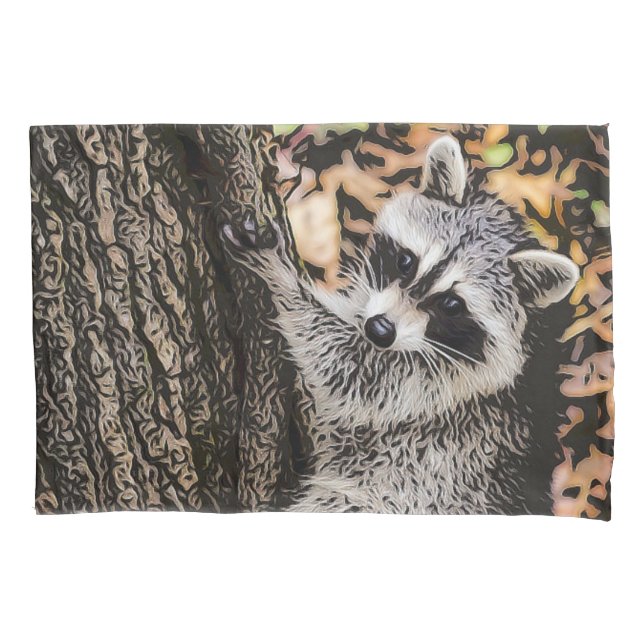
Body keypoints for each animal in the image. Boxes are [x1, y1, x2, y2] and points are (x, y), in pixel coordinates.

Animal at [222, 136, 579, 515]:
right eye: (406, 261)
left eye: (451, 304)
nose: (379, 330)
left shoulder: (440, 390)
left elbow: (351, 372)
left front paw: (283, 277)